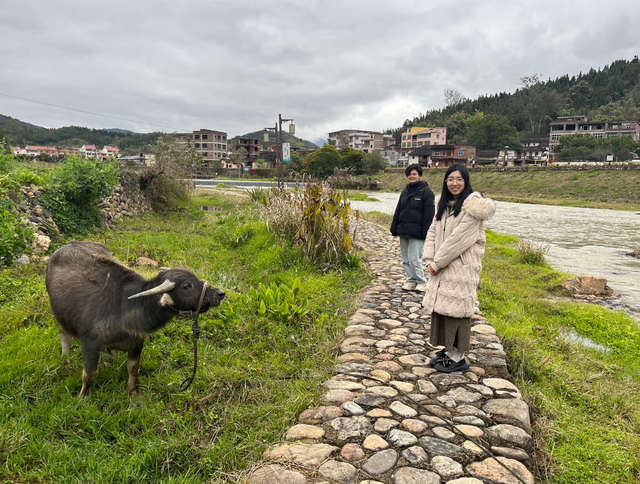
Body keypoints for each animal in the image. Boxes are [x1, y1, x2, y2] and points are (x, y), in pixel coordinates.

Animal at [45, 242, 225, 398]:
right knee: (65, 338)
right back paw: (65, 362)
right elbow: (89, 374)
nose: (220, 293)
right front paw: (83, 395)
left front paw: (134, 393)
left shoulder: (137, 343)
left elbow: (133, 369)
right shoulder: (89, 343)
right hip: (59, 317)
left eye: (196, 278)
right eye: (187, 286)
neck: (126, 309)